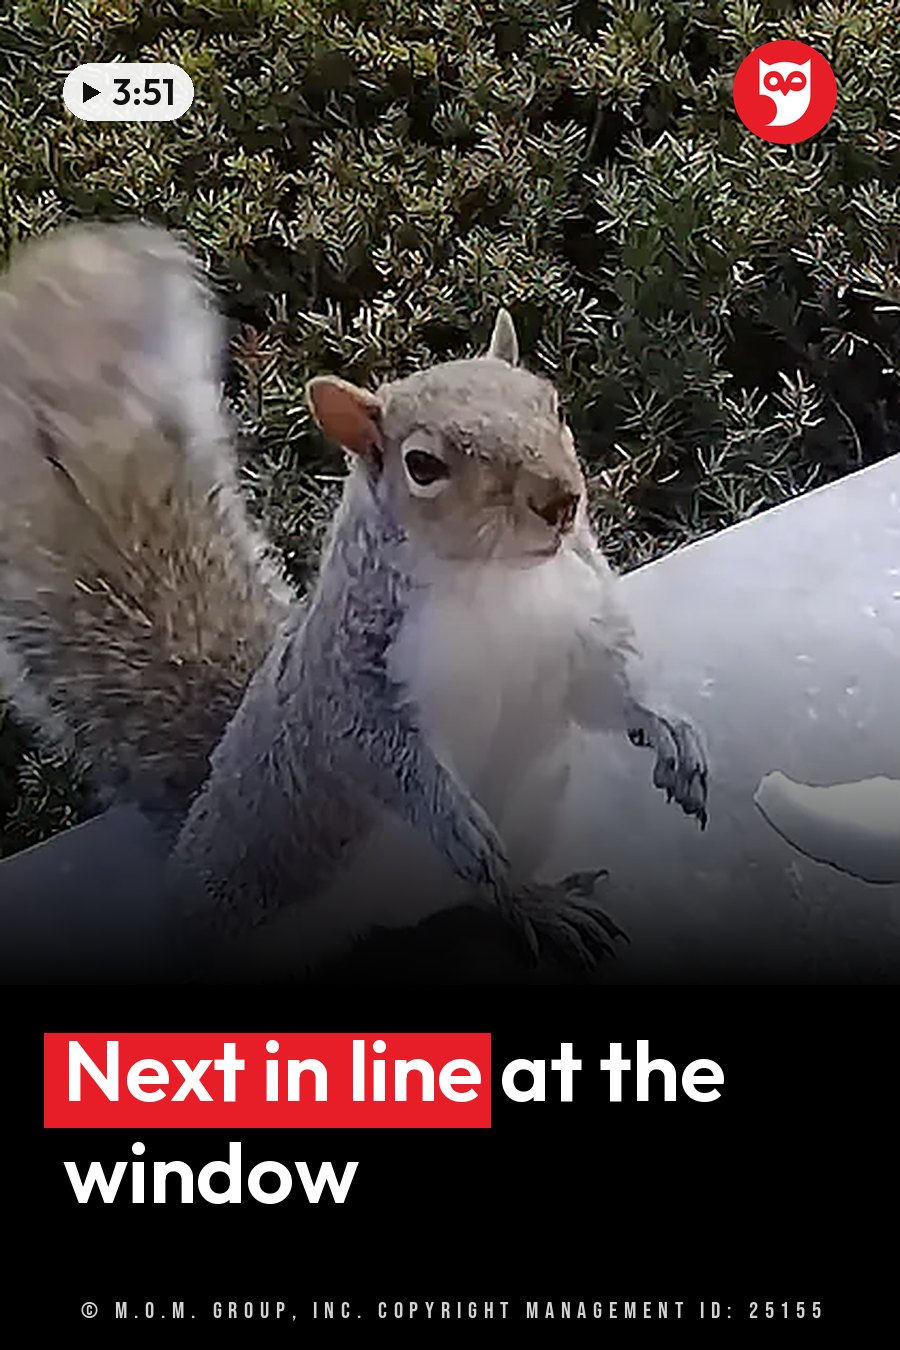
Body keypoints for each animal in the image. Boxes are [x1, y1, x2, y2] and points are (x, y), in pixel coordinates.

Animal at [0, 222, 708, 978]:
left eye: (551, 404)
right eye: (422, 465)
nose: (560, 499)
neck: (497, 581)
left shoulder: (581, 625)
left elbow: (610, 692)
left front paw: (671, 732)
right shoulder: (347, 681)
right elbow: (378, 755)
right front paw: (455, 822)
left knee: (491, 893)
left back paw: (539, 904)